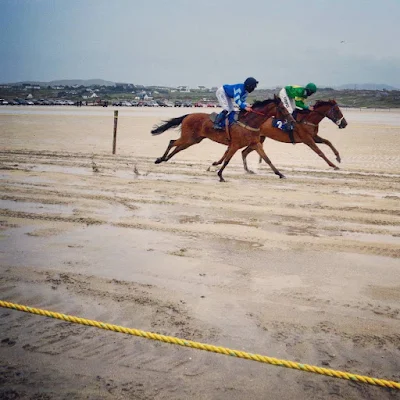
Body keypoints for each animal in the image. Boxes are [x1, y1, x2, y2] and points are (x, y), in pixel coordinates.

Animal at [150, 95, 294, 181]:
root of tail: (188, 115)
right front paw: (220, 175)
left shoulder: (255, 143)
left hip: (193, 139)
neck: (249, 122)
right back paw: (160, 159)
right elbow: (227, 160)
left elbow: (267, 159)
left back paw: (164, 159)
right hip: (188, 137)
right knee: (172, 142)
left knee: (178, 147)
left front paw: (280, 174)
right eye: (282, 108)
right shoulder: (235, 144)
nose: (292, 120)